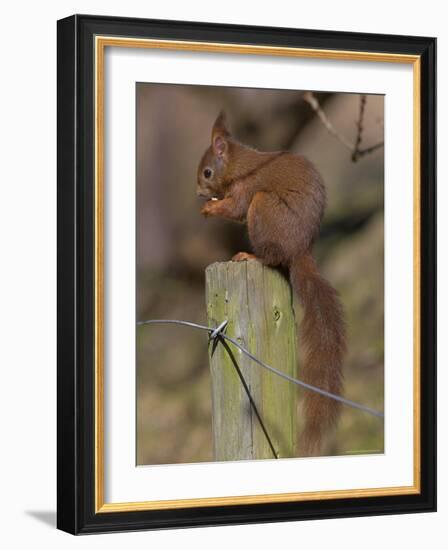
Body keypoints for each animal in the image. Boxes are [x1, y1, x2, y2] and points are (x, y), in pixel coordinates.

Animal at [196, 112, 346, 458]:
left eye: (208, 172)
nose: (198, 192)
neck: (239, 166)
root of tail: (299, 250)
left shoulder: (246, 189)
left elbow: (235, 208)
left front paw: (210, 207)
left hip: (263, 207)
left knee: (271, 256)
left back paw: (249, 255)